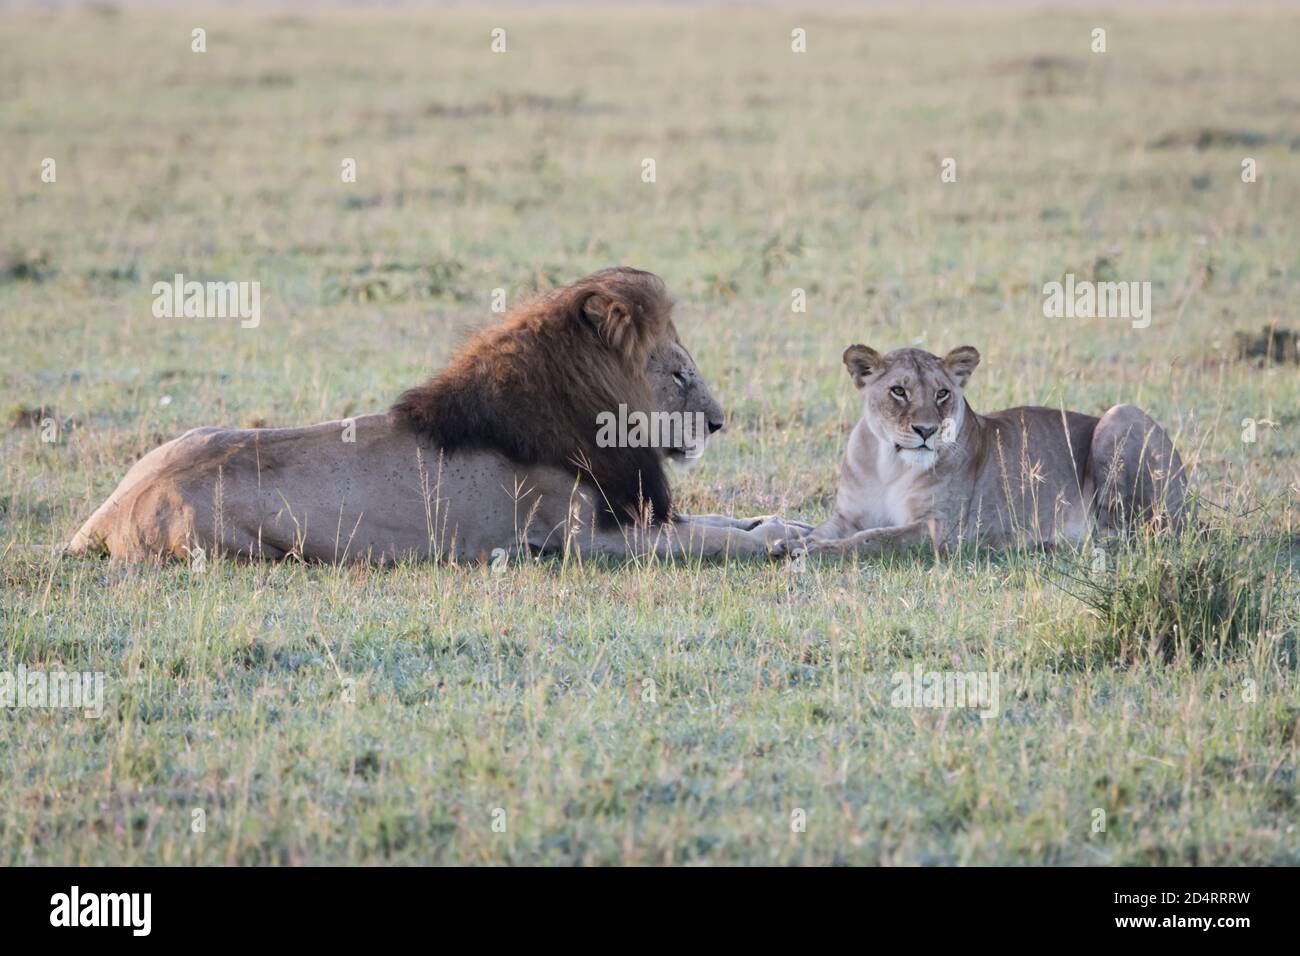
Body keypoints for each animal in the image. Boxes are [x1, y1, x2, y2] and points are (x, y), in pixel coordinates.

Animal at [68, 268, 804, 564]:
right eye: (677, 373)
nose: (719, 423)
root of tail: (103, 516)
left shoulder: (632, 509)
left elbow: (719, 521)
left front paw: (786, 524)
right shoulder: (587, 539)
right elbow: (713, 540)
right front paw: (777, 542)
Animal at [775, 344, 1189, 558]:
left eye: (942, 393)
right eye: (898, 391)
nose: (927, 430)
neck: (890, 464)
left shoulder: (941, 529)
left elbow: (874, 539)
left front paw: (812, 552)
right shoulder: (849, 515)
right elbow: (829, 529)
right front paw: (791, 542)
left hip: (1121, 417)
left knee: (1129, 534)